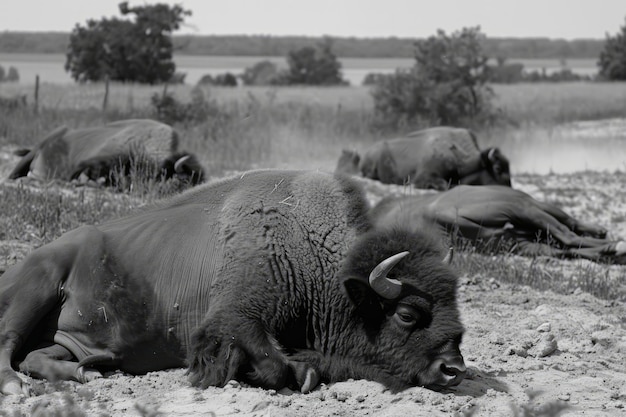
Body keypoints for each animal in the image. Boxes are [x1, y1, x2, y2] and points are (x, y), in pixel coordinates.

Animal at [0, 168, 464, 394]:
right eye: (407, 314)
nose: (454, 370)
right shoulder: (235, 316)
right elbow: (270, 361)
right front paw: (279, 374)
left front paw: (307, 369)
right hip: (37, 286)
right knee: (8, 346)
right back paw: (17, 388)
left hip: (69, 337)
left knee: (37, 355)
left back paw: (89, 375)